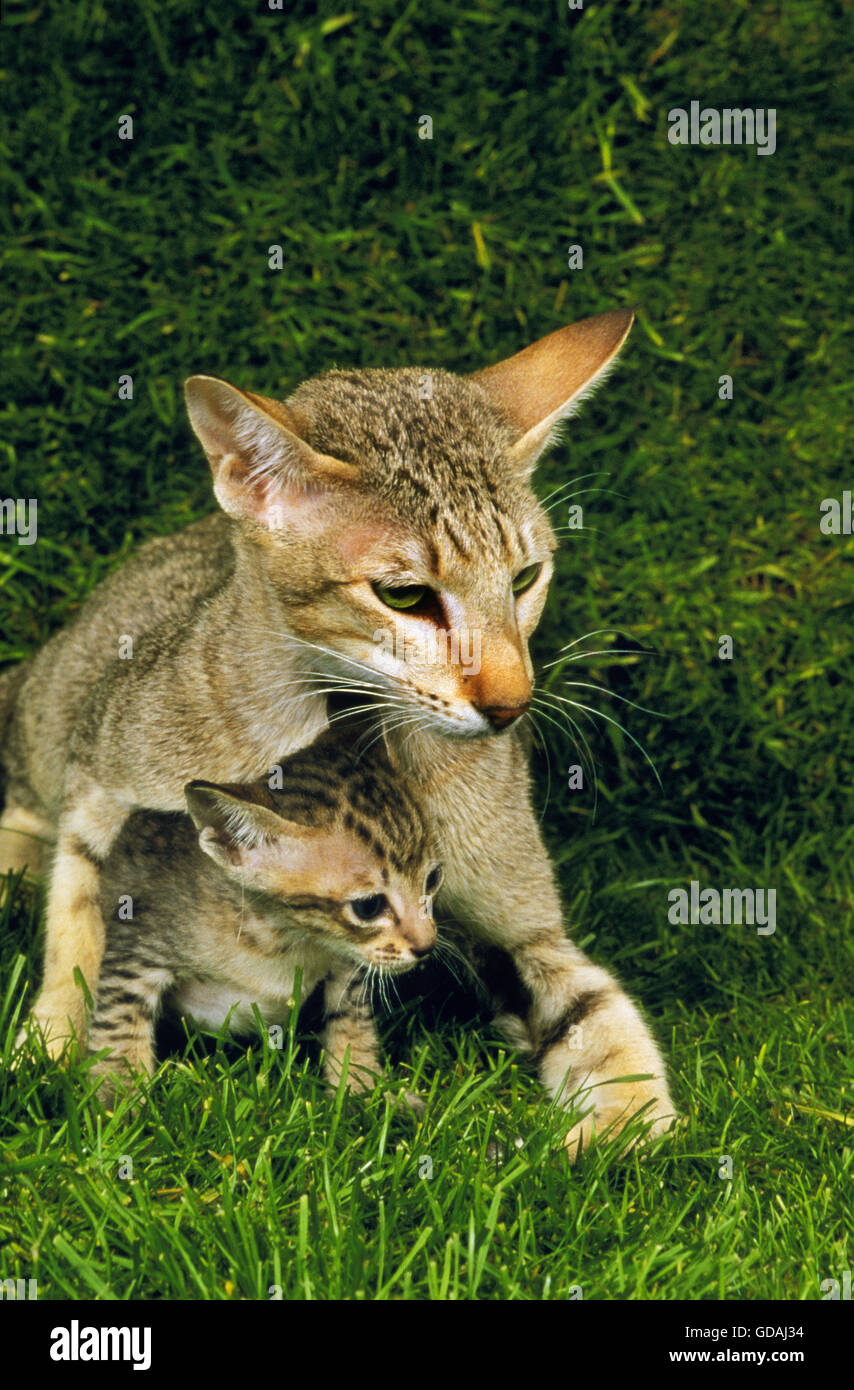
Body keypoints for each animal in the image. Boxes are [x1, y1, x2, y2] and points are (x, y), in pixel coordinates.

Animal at [90, 728, 445, 1106]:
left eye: (433, 879)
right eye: (368, 907)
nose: (427, 945)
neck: (282, 938)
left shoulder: (347, 963)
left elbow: (350, 1018)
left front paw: (362, 1088)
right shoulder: (138, 940)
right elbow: (119, 1017)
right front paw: (118, 1094)